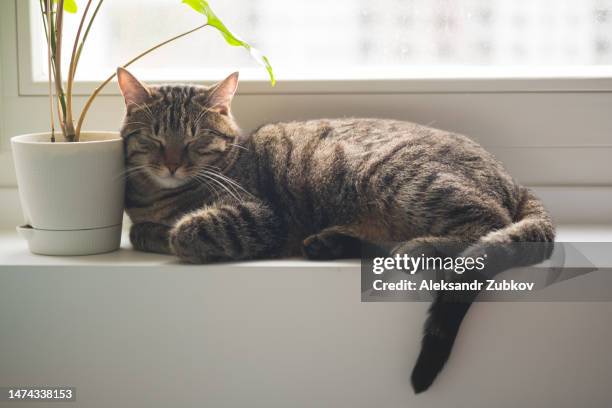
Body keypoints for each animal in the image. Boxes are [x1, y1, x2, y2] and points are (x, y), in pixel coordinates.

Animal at [117, 67, 556, 392]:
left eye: (197, 137)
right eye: (155, 137)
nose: (172, 163)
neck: (162, 196)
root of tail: (515, 181)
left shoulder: (263, 218)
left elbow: (185, 232)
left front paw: (174, 233)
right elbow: (143, 229)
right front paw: (153, 230)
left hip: (402, 179)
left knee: (488, 224)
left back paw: (417, 248)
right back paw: (331, 242)